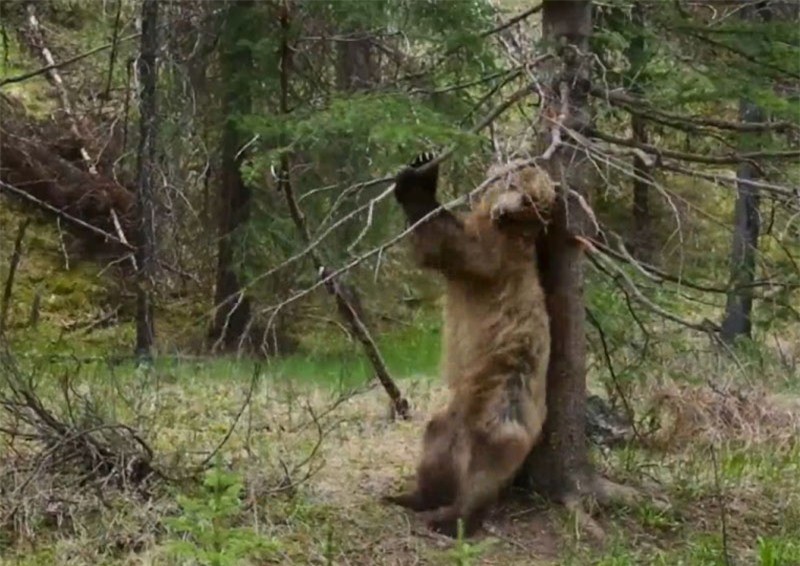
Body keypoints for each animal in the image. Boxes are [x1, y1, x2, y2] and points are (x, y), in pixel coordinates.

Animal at [382, 153, 556, 540]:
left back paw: (450, 519)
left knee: (483, 472)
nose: (507, 207)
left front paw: (418, 181)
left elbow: (449, 245)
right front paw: (422, 162)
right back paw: (408, 496)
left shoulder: (491, 259)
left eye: (523, 188)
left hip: (501, 409)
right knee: (434, 449)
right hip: (450, 419)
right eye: (511, 178)